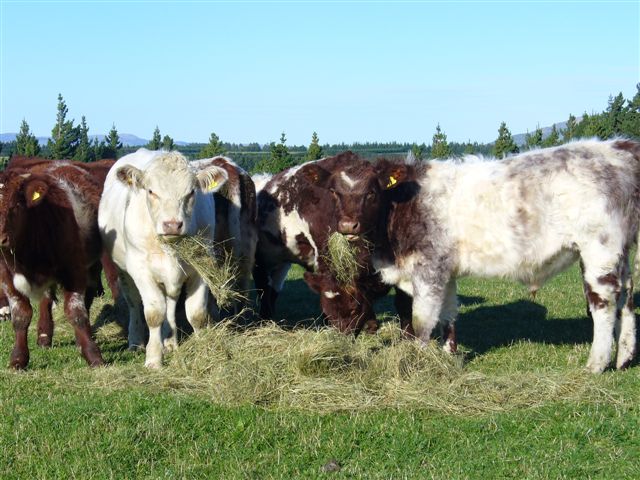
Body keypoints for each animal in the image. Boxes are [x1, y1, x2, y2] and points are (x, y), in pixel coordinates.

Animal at [0, 159, 115, 369]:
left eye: (17, 204)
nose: (1, 239)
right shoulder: (7, 277)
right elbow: (21, 315)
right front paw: (18, 359)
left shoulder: (74, 270)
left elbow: (76, 312)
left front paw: (93, 355)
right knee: (46, 300)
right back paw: (44, 336)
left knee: (89, 294)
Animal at [98, 149, 229, 368]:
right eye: (151, 191)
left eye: (191, 192)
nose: (172, 224)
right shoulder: (141, 270)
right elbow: (154, 314)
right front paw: (153, 358)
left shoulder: (201, 268)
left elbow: (196, 313)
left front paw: (203, 349)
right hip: (124, 271)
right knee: (134, 303)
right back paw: (136, 342)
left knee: (171, 302)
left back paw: (169, 341)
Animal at [254, 152, 388, 334]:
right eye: (333, 192)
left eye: (371, 193)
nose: (344, 332)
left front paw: (371, 323)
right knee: (263, 287)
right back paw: (265, 320)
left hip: (280, 260)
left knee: (273, 287)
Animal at [328, 138, 639, 373]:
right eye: (334, 192)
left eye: (372, 192)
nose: (347, 225)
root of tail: (616, 148)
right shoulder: (447, 271)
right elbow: (449, 314)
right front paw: (449, 354)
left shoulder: (429, 269)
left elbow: (421, 322)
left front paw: (416, 363)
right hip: (621, 253)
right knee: (626, 298)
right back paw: (624, 359)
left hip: (599, 250)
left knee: (604, 303)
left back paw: (596, 364)